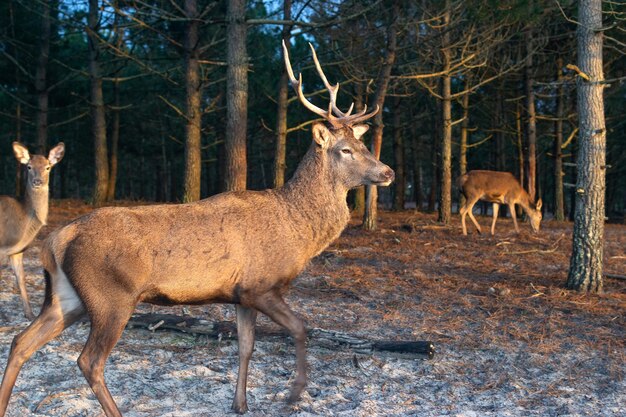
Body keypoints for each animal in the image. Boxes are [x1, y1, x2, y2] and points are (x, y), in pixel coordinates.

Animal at [0, 143, 64, 318]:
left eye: (48, 167)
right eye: (29, 167)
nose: (37, 181)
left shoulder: (17, 251)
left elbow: (21, 279)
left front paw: (30, 314)